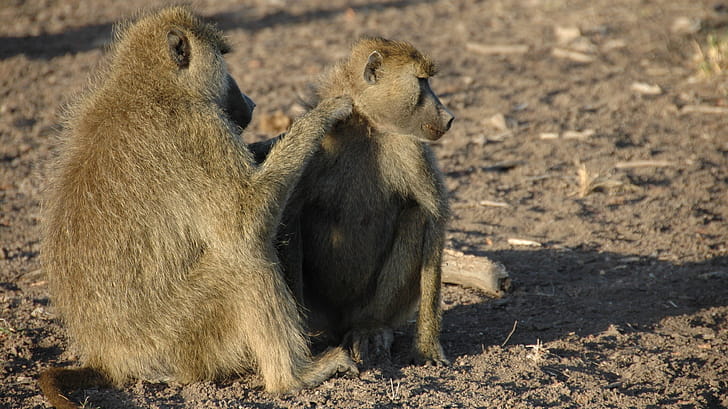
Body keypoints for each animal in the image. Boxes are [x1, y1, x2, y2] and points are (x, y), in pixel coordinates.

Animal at [38, 7, 356, 409]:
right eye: (222, 56)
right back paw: (294, 377)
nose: (250, 100)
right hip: (175, 336)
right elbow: (242, 219)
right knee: (241, 259)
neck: (151, 84)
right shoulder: (196, 129)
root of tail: (107, 357)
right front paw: (322, 116)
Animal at [250, 37, 455, 366]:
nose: (449, 118)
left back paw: (368, 329)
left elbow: (434, 218)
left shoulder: (411, 150)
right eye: (421, 82)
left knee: (415, 217)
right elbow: (290, 215)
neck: (363, 123)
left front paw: (427, 347)